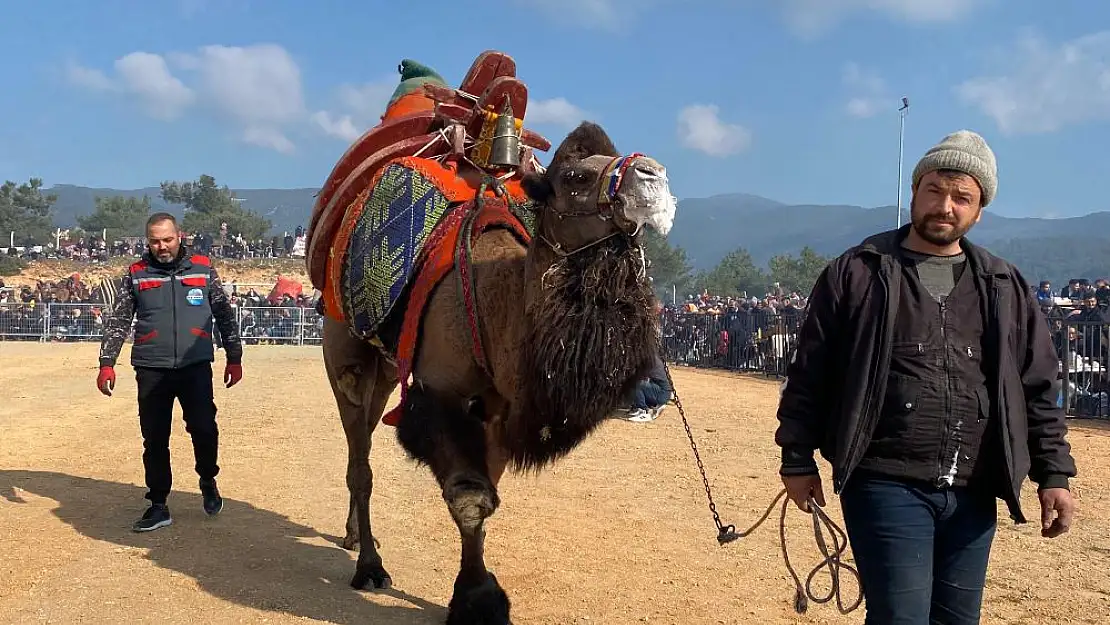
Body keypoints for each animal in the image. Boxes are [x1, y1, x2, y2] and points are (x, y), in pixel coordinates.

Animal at [310, 51, 674, 621]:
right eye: (574, 176)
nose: (652, 175)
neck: (494, 301)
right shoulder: (440, 393)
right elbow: (470, 498)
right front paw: (477, 597)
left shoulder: (501, 407)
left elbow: (490, 495)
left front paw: (474, 587)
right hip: (341, 349)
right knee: (359, 452)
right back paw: (368, 564)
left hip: (389, 368)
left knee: (363, 438)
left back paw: (352, 536)